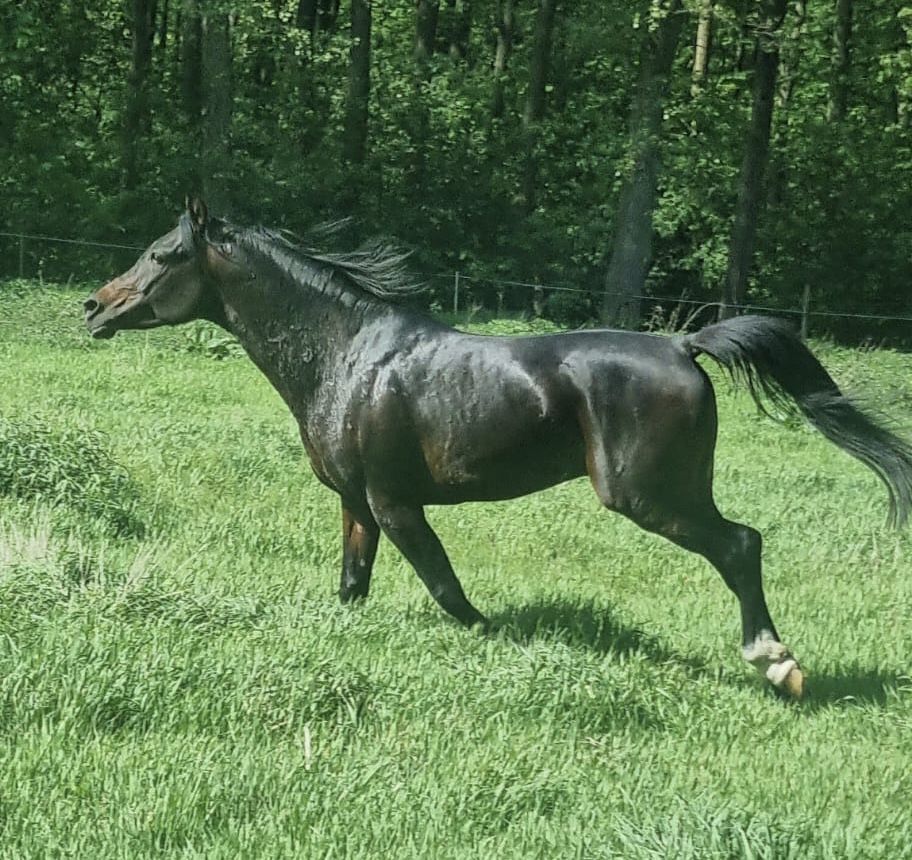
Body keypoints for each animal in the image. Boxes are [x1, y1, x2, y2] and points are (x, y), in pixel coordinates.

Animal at [83, 200, 912, 700]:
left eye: (163, 254)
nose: (93, 307)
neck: (346, 357)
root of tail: (684, 344)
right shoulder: (357, 503)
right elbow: (353, 584)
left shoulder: (395, 501)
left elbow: (448, 590)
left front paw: (500, 641)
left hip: (649, 494)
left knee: (741, 544)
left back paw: (777, 664)